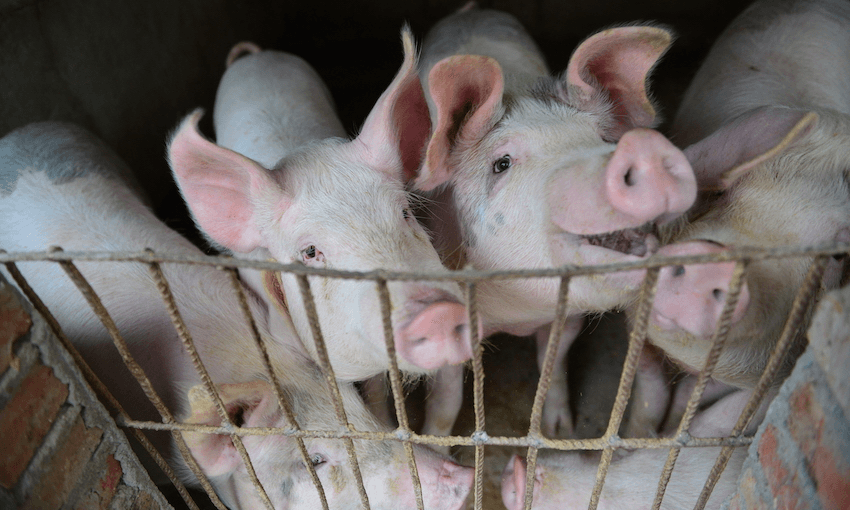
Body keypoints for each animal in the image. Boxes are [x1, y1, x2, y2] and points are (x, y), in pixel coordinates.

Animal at [411, 5, 697, 440]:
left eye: (602, 139)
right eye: (502, 163)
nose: (643, 149)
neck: (518, 311)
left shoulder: (569, 318)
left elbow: (552, 367)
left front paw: (560, 433)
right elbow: (446, 400)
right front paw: (435, 441)